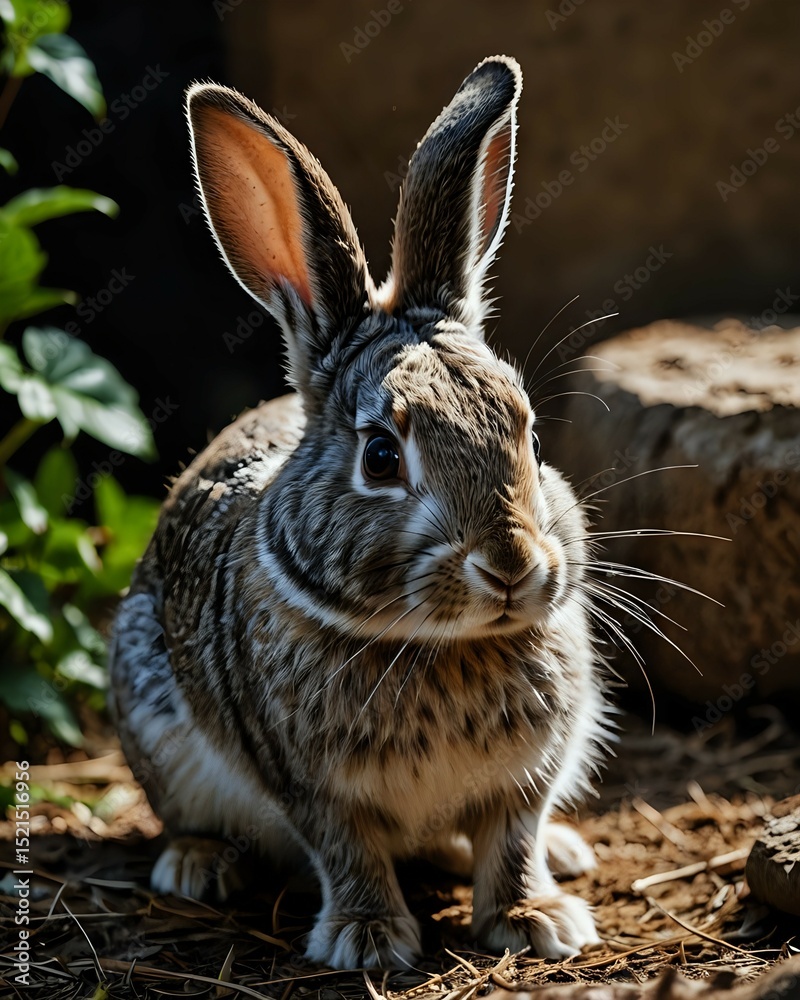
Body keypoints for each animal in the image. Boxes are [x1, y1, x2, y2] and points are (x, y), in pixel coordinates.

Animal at [109, 54, 615, 971]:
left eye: (525, 431)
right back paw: (197, 865)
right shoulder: (312, 787)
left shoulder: (526, 777)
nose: (512, 566)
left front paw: (537, 920)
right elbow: (349, 852)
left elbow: (513, 840)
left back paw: (566, 852)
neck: (442, 645)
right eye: (381, 456)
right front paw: (368, 940)